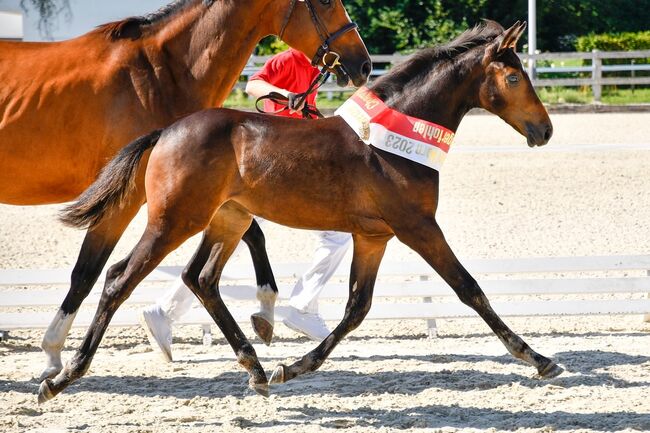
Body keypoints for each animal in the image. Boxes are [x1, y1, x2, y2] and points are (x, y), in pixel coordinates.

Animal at [1, 0, 371, 382]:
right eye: (324, 2)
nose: (363, 64)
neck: (158, 74)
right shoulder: (133, 199)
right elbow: (87, 271)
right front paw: (53, 356)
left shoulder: (208, 193)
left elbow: (251, 236)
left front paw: (264, 314)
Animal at [42, 20, 560, 402]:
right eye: (514, 77)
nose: (545, 130)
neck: (391, 143)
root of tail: (165, 132)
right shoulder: (418, 227)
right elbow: (470, 289)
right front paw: (537, 358)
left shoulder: (373, 237)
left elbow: (356, 307)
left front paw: (291, 368)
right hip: (173, 221)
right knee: (119, 278)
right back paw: (62, 376)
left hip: (227, 219)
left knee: (200, 278)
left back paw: (255, 367)